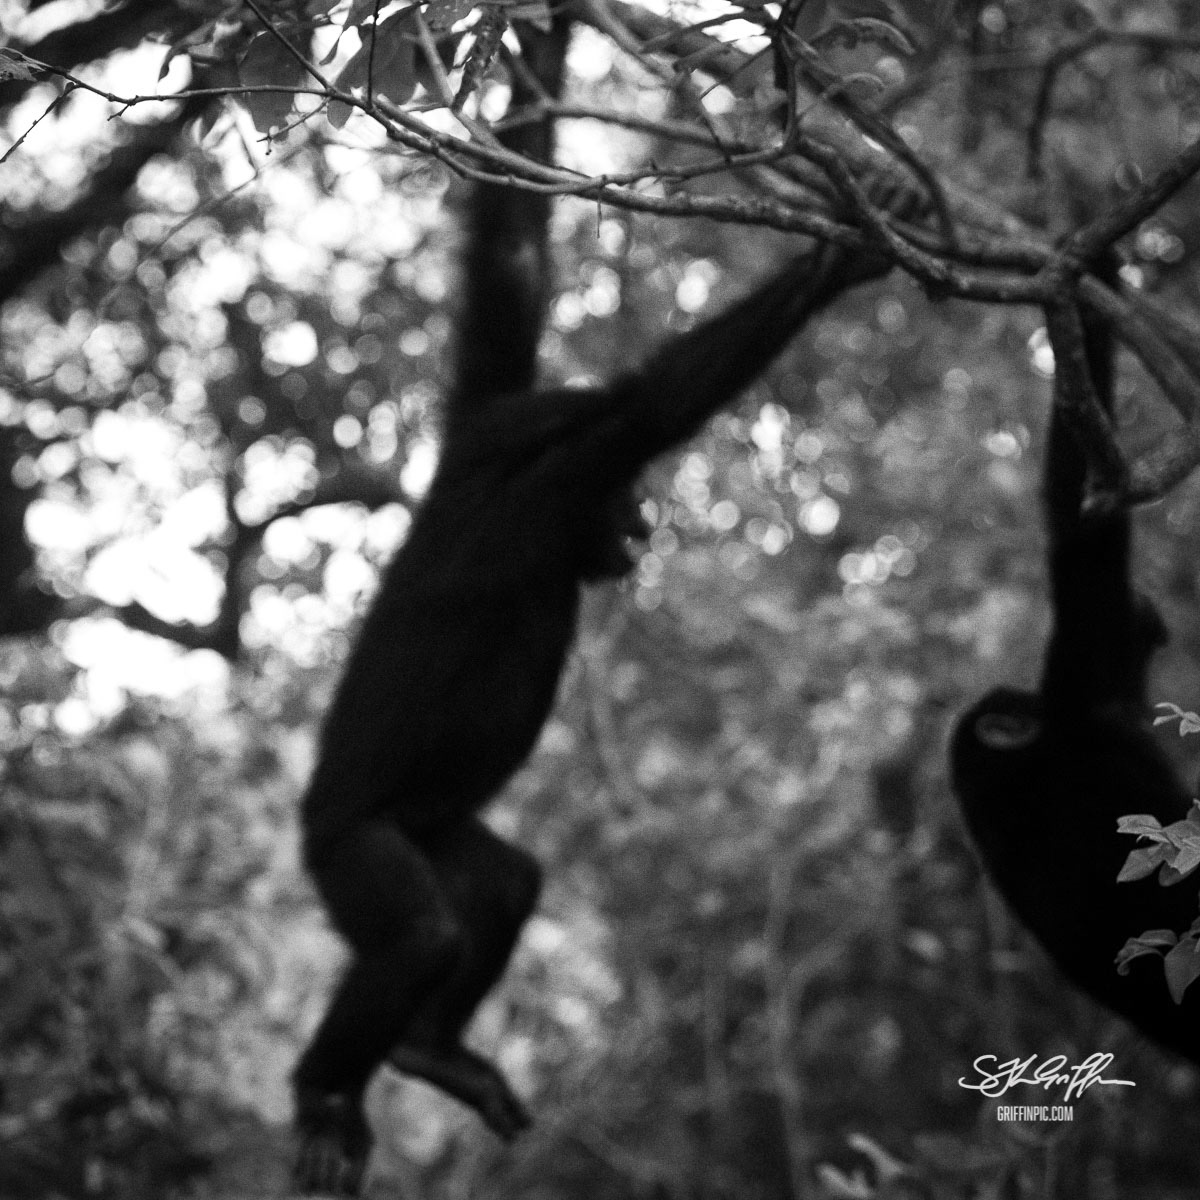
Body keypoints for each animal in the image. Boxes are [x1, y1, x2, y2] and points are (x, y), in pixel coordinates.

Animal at [291, 30, 916, 1197]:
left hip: (443, 833)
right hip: (352, 849)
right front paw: (840, 261)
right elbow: (657, 396)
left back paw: (429, 1051)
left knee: (505, 886)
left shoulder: (497, 426)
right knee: (417, 936)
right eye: (627, 495)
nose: (647, 519)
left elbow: (513, 256)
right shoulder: (565, 475)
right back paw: (324, 1099)